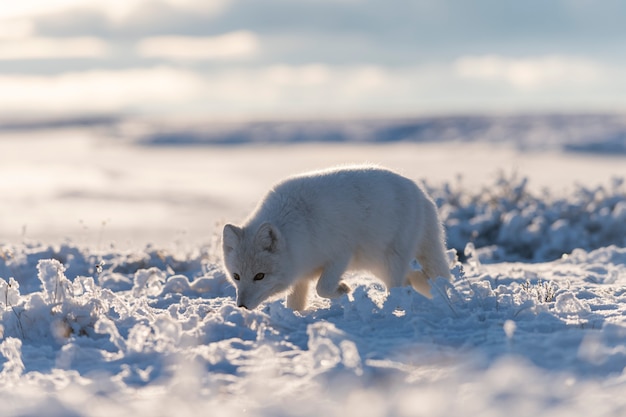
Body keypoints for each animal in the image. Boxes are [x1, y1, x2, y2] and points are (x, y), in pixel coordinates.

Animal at [222, 164, 450, 310]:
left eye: (259, 276)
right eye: (236, 276)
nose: (241, 306)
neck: (298, 226)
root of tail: (422, 194)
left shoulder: (340, 255)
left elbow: (322, 288)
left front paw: (343, 290)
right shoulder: (301, 271)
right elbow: (295, 303)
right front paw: (296, 316)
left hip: (390, 261)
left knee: (402, 286)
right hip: (377, 265)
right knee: (411, 280)